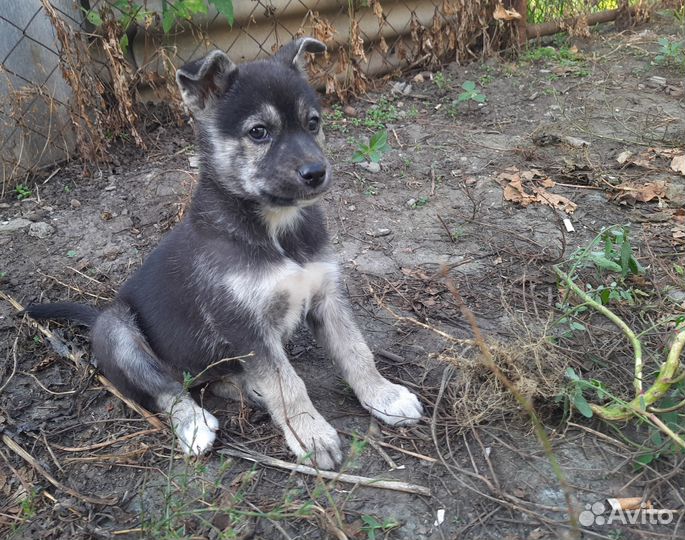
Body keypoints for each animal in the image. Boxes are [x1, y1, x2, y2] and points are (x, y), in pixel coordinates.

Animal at [25, 38, 422, 468]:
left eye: (313, 123)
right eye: (259, 132)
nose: (317, 173)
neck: (275, 228)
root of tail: (98, 316)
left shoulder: (327, 295)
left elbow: (356, 350)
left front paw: (384, 396)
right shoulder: (244, 324)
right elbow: (288, 383)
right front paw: (311, 434)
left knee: (214, 381)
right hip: (117, 331)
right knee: (168, 389)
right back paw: (193, 424)